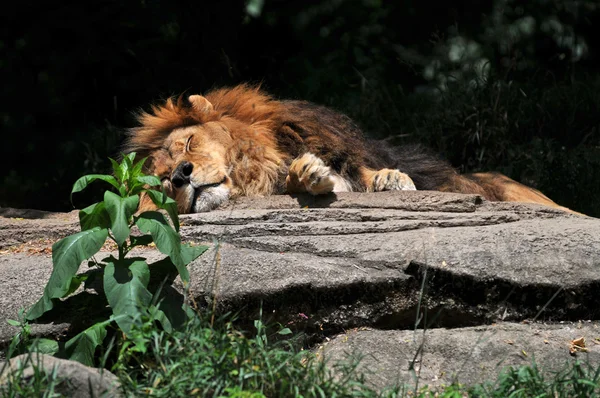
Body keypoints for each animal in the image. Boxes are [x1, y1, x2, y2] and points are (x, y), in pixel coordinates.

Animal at [124, 83, 580, 215]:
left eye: (188, 142)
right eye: (162, 179)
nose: (181, 175)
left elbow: (364, 171)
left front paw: (390, 179)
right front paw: (307, 174)